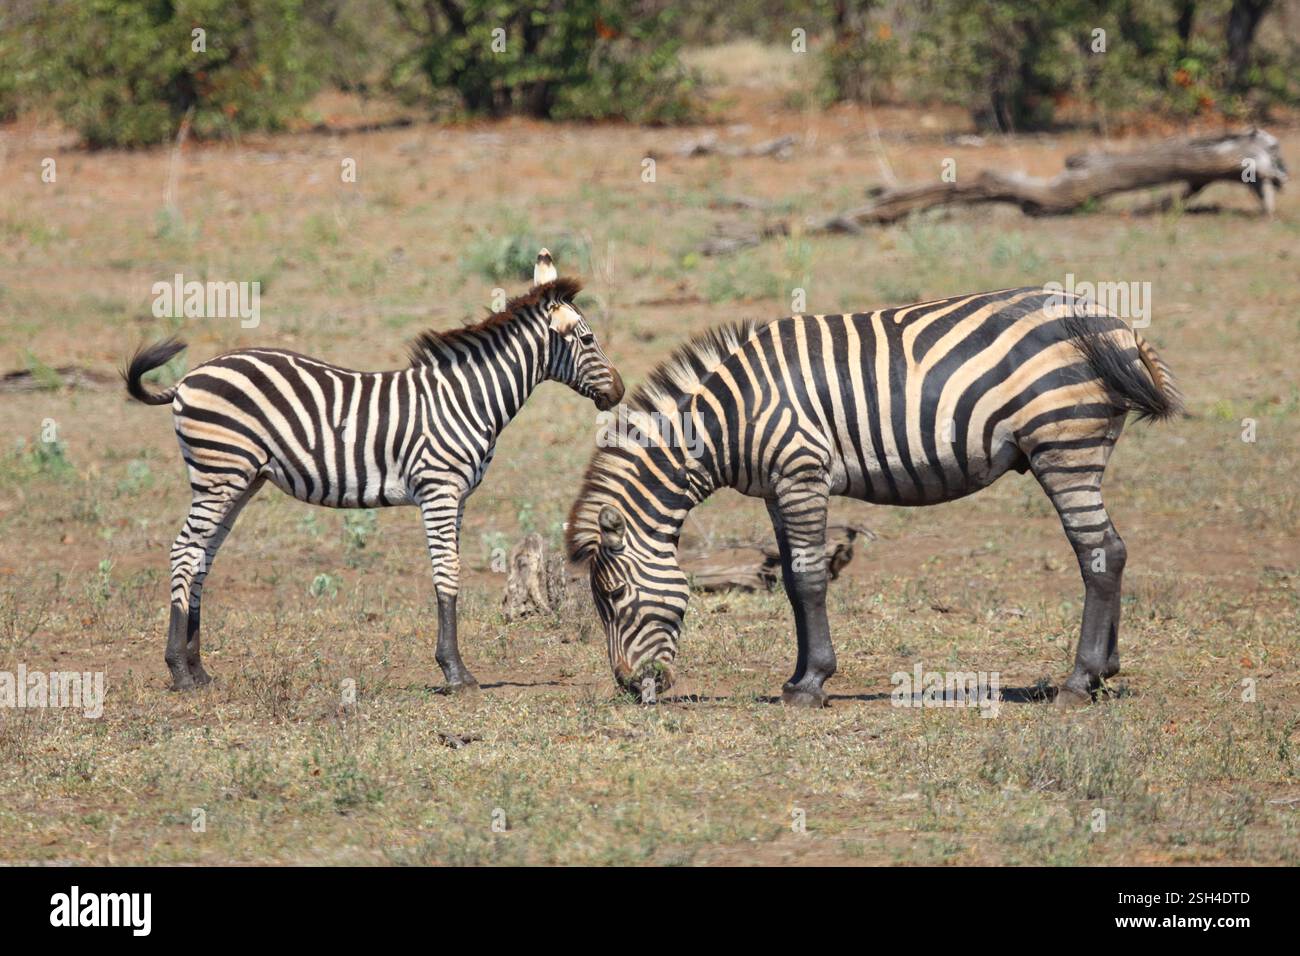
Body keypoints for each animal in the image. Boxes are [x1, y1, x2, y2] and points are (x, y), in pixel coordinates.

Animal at [126, 250, 623, 692]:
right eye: (587, 340)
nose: (618, 391)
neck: (467, 398)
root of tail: (186, 379)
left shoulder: (457, 497)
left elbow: (450, 570)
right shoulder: (440, 490)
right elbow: (447, 571)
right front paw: (455, 672)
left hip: (239, 481)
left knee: (202, 557)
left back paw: (199, 671)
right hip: (219, 475)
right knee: (184, 552)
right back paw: (180, 672)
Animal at [566, 287, 1182, 707]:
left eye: (613, 597)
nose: (628, 687)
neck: (729, 419)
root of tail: (1117, 325)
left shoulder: (801, 473)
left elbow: (810, 580)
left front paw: (811, 685)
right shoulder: (777, 489)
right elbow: (791, 581)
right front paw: (797, 677)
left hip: (1063, 444)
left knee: (1099, 552)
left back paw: (1078, 682)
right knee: (1112, 551)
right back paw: (1104, 673)